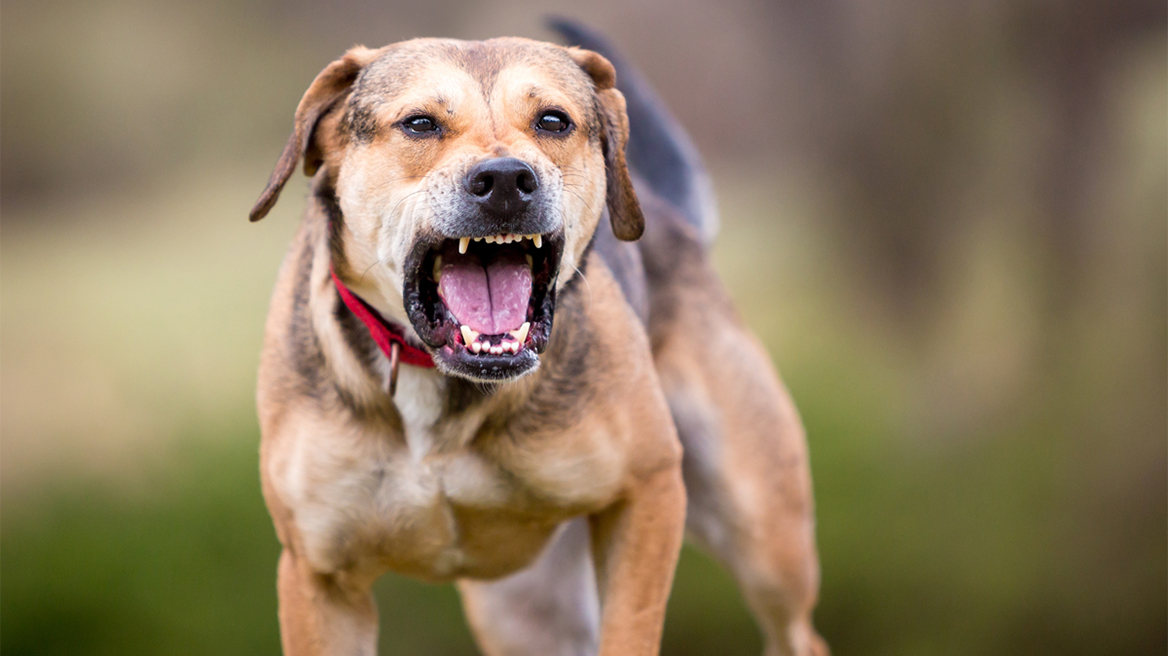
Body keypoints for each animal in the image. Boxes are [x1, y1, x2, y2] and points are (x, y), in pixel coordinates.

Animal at [251, 20, 826, 653]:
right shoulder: (318, 576)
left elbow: (630, 629)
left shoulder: (649, 490)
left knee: (796, 630)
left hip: (765, 537)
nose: (505, 179)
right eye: (420, 123)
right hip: (526, 611)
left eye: (553, 120)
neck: (442, 386)